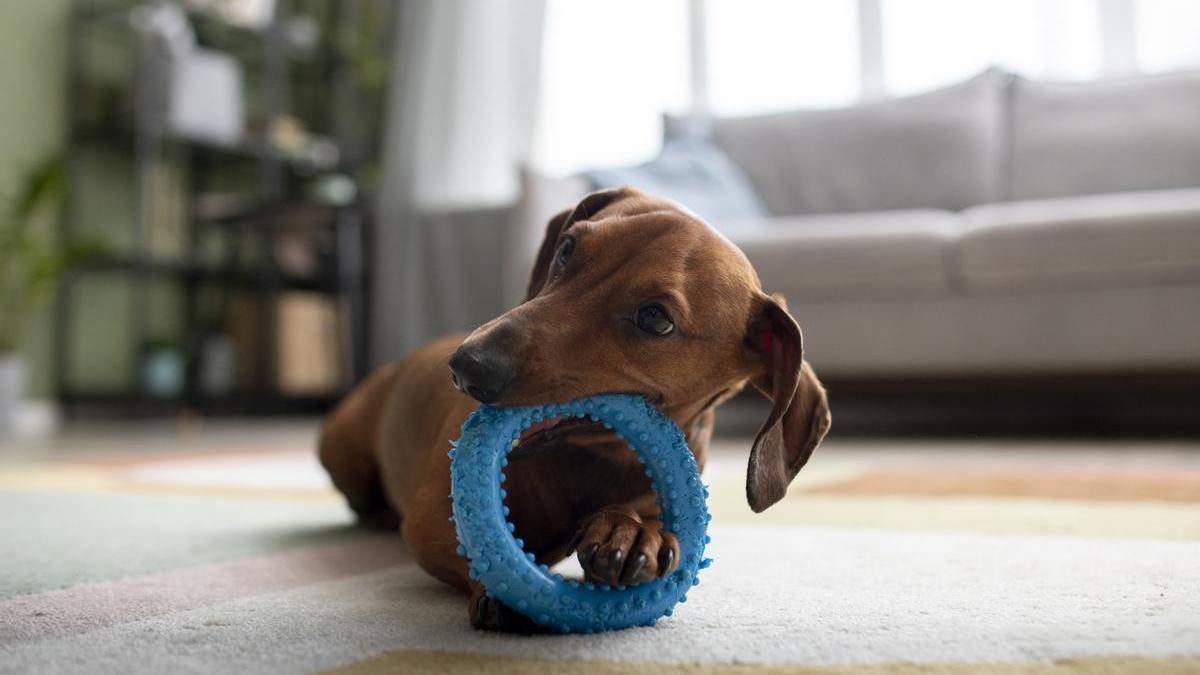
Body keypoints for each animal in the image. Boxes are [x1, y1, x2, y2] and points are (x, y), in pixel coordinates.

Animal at [314, 184, 830, 629]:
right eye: (566, 249)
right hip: (341, 450)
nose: (466, 367)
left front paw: (631, 532)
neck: (589, 463)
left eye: (655, 318)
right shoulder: (428, 519)